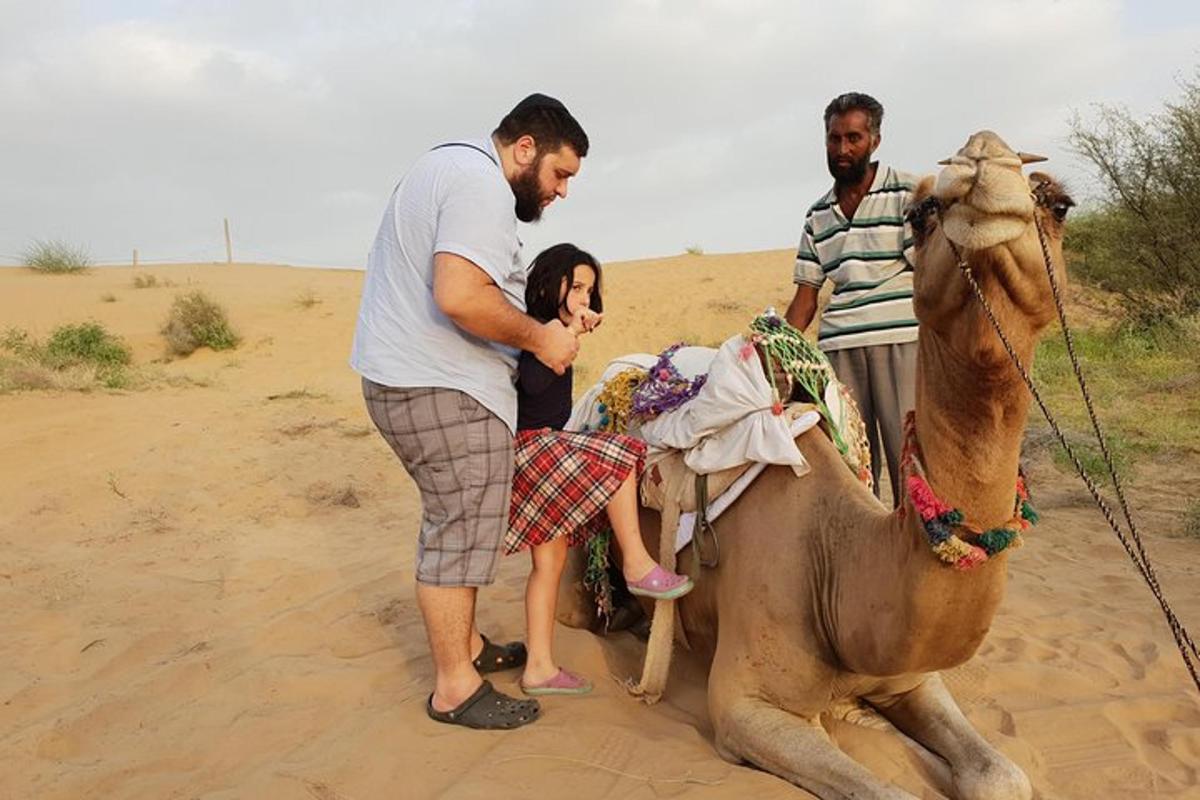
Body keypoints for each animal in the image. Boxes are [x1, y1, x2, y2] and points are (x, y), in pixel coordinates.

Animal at [561, 133, 1080, 800]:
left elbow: (1001, 776)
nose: (983, 158)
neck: (839, 565)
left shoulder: (911, 677)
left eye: (1060, 204)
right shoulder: (748, 706)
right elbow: (889, 791)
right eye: (921, 213)